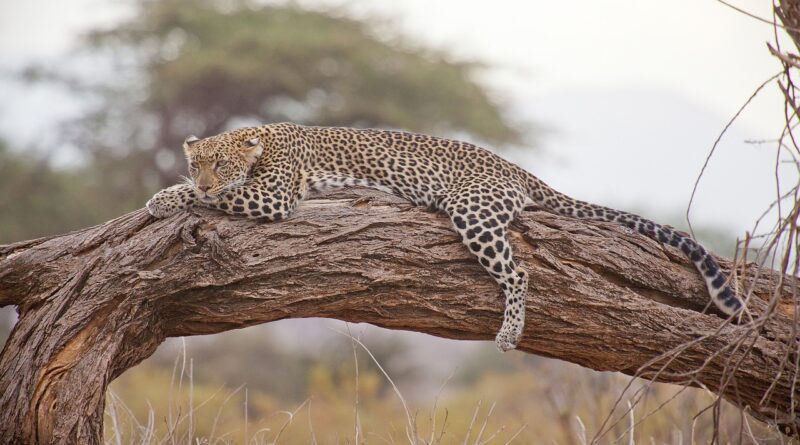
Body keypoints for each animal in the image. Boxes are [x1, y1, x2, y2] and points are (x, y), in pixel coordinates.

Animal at [146, 123, 744, 351]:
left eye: (220, 166)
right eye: (199, 162)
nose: (203, 176)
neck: (261, 140)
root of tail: (517, 169)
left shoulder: (272, 195)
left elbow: (212, 200)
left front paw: (166, 199)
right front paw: (168, 192)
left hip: (472, 210)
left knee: (518, 270)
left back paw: (509, 333)